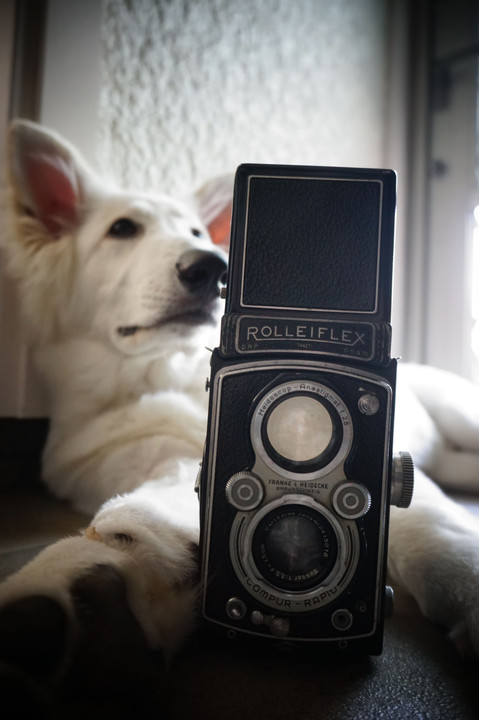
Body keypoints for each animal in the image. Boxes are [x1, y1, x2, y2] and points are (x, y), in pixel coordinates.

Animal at [1, 122, 479, 704]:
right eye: (122, 229)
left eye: (198, 234)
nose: (210, 265)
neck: (161, 373)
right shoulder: (156, 460)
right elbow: (155, 513)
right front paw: (87, 589)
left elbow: (435, 533)